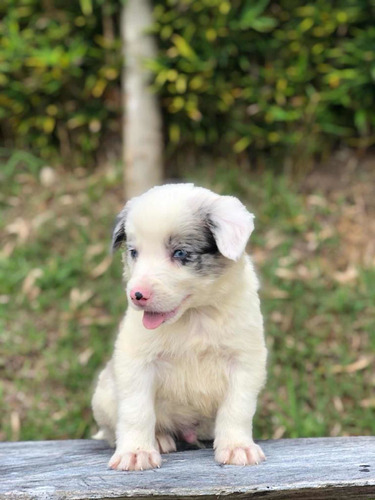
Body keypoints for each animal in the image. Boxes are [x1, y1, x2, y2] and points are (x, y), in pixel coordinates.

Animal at [92, 183, 268, 468]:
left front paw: (237, 447)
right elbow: (136, 411)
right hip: (104, 397)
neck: (193, 316)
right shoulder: (135, 361)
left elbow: (237, 408)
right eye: (133, 252)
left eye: (180, 253)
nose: (136, 295)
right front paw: (136, 452)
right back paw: (159, 439)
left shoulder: (245, 360)